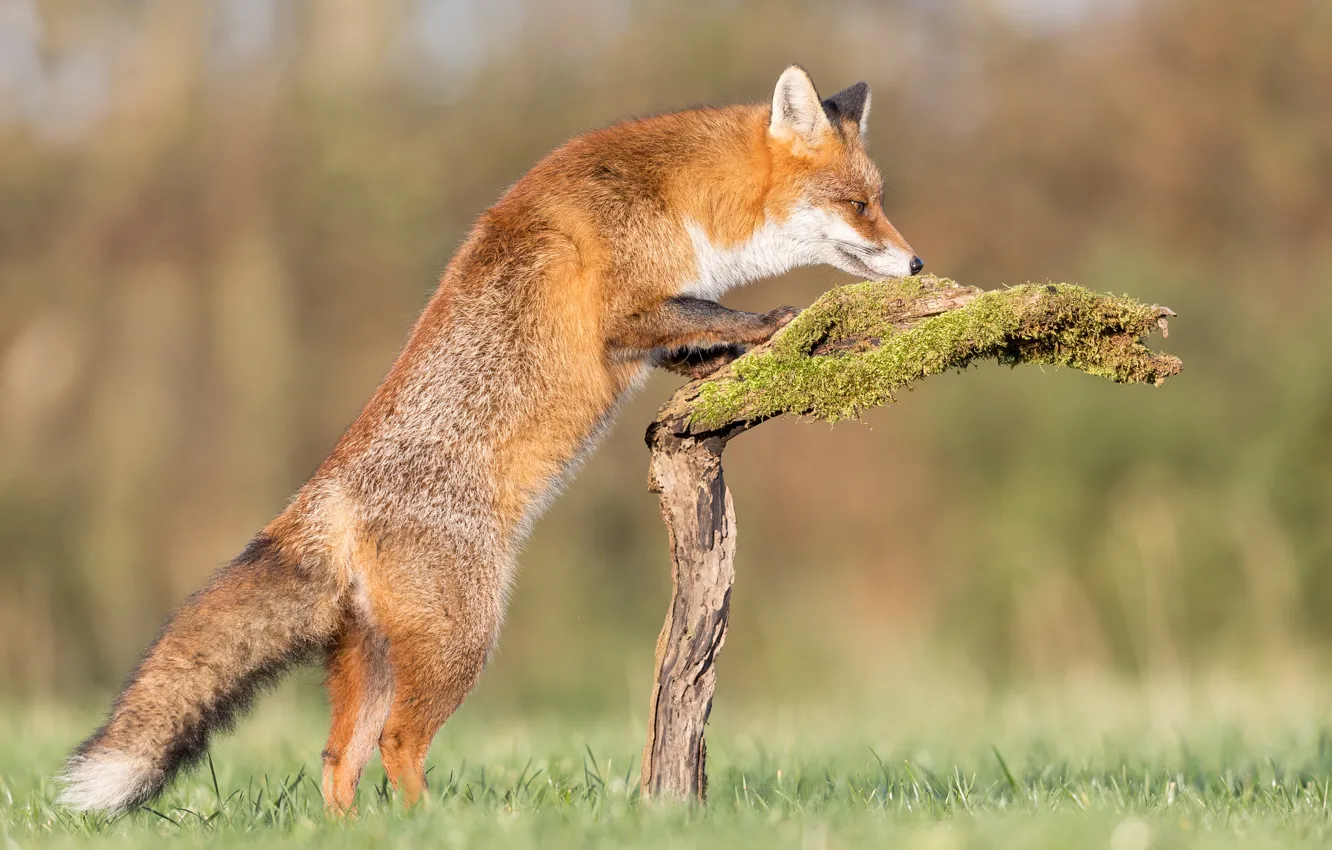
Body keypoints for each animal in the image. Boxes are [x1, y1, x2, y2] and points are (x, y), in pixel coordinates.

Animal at [59, 64, 916, 810]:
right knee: (397, 744)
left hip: (376, 661)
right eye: (857, 203)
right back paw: (429, 826)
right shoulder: (626, 314)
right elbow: (720, 315)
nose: (915, 262)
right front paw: (781, 322)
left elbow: (700, 341)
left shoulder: (649, 334)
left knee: (339, 760)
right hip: (463, 640)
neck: (679, 197)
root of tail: (322, 497)